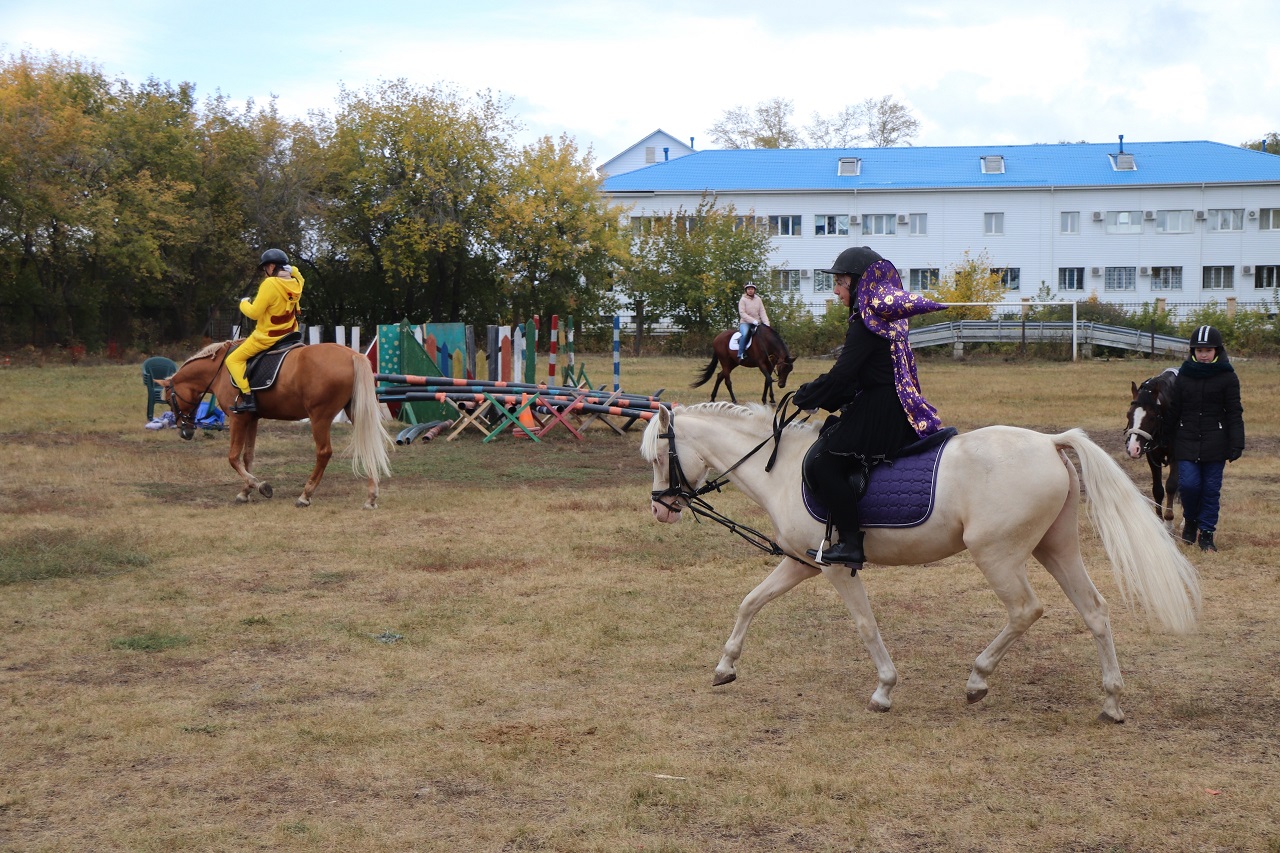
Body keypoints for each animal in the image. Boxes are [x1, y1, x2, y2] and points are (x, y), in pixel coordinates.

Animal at [156, 340, 393, 509]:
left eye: (169, 400)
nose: (185, 431)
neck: (221, 370)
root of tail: (352, 355)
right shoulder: (251, 419)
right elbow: (247, 457)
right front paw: (245, 491)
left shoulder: (238, 419)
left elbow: (233, 458)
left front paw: (261, 486)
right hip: (354, 412)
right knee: (368, 447)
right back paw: (371, 497)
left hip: (320, 417)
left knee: (324, 452)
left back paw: (305, 495)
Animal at [642, 402, 1201, 722]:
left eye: (659, 456)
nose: (660, 508)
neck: (781, 468)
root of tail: (1048, 441)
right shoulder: (802, 563)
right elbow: (750, 603)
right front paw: (725, 666)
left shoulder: (835, 567)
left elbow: (865, 626)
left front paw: (884, 691)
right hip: (1055, 548)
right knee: (1096, 612)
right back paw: (1111, 702)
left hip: (997, 555)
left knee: (1026, 610)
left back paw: (978, 679)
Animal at [1124, 368, 1180, 523]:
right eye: (1128, 414)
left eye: (1152, 417)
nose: (1133, 448)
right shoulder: (1152, 456)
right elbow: (1158, 490)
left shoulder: (1177, 457)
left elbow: (1171, 486)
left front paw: (1168, 520)